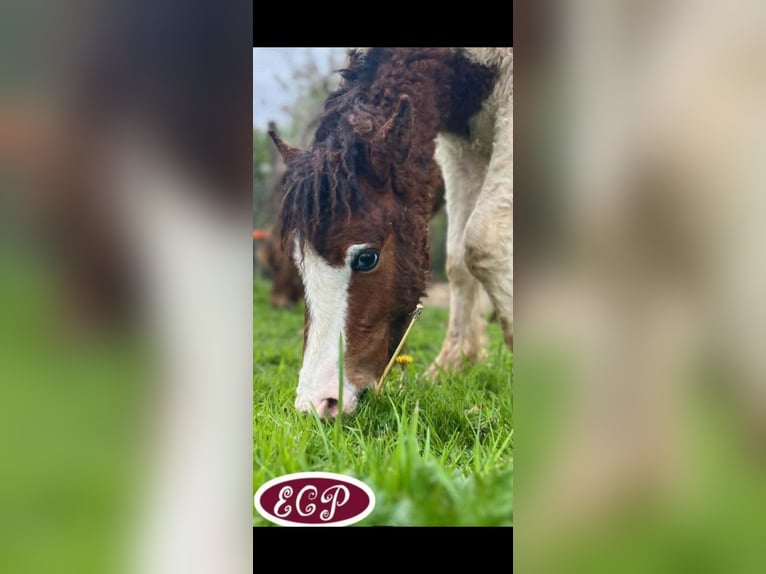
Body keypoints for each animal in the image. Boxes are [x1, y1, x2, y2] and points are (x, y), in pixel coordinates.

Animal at [270, 48, 513, 417]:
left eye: (367, 258)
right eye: (298, 262)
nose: (317, 403)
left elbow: (484, 240)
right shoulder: (461, 143)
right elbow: (459, 260)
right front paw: (454, 363)